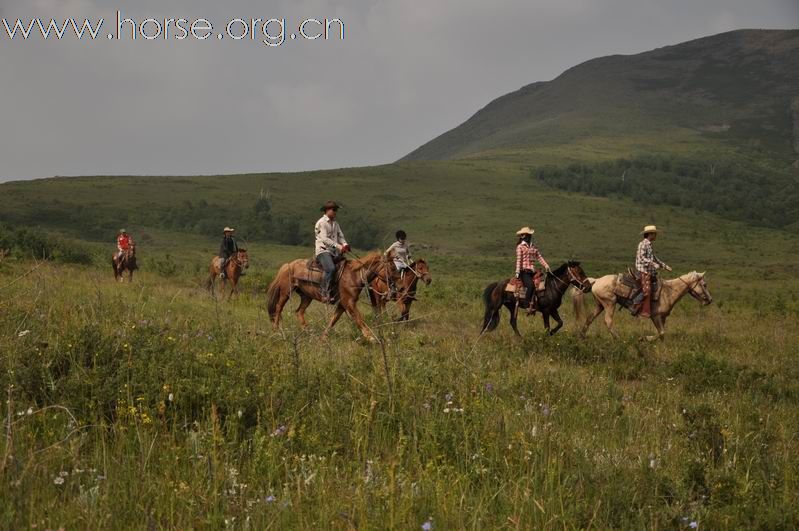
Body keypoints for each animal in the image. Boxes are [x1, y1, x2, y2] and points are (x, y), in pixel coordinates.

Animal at [572, 272, 716, 342]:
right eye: (704, 284)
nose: (709, 300)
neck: (669, 292)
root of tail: (596, 280)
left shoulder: (662, 318)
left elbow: (662, 334)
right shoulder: (655, 316)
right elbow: (661, 332)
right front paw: (644, 338)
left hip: (600, 305)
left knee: (590, 318)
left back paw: (582, 336)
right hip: (609, 303)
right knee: (608, 321)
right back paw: (618, 338)